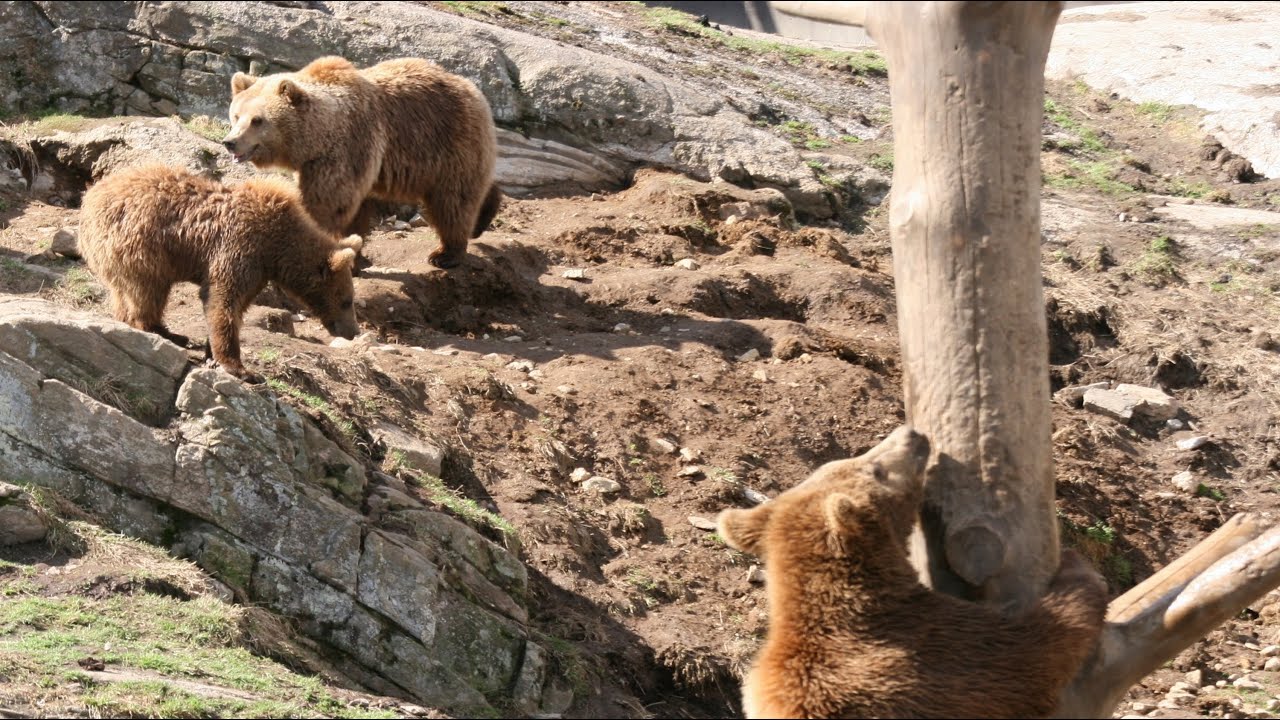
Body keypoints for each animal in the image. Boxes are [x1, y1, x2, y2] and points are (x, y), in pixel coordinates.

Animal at [78, 164, 363, 382]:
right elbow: (223, 300)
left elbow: (236, 305)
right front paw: (240, 368)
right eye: (346, 300)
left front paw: (211, 353)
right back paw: (158, 329)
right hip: (141, 244)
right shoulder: (240, 248)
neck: (276, 247)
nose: (353, 331)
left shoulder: (257, 269)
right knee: (148, 288)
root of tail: (89, 198)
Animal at [222, 55, 503, 270]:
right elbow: (353, 212)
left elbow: (327, 204)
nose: (230, 142)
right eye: (235, 115)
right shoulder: (327, 163)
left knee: (453, 200)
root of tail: (474, 90)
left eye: (257, 120)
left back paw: (446, 253)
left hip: (450, 143)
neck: (316, 138)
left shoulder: (347, 149)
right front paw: (357, 257)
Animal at [717, 426, 1109, 719]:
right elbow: (1030, 652)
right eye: (875, 468)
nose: (912, 433)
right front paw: (1079, 571)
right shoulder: (927, 654)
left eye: (843, 459)